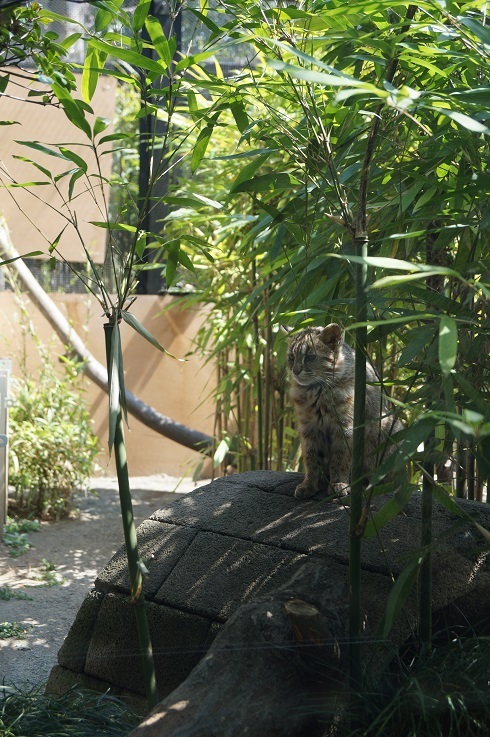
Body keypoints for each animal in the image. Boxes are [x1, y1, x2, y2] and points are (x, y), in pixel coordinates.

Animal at [288, 324, 402, 498]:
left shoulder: (345, 427)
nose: (295, 371)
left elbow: (341, 458)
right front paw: (309, 484)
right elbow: (310, 458)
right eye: (291, 357)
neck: (317, 392)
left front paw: (339, 483)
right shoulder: (308, 428)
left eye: (310, 357)